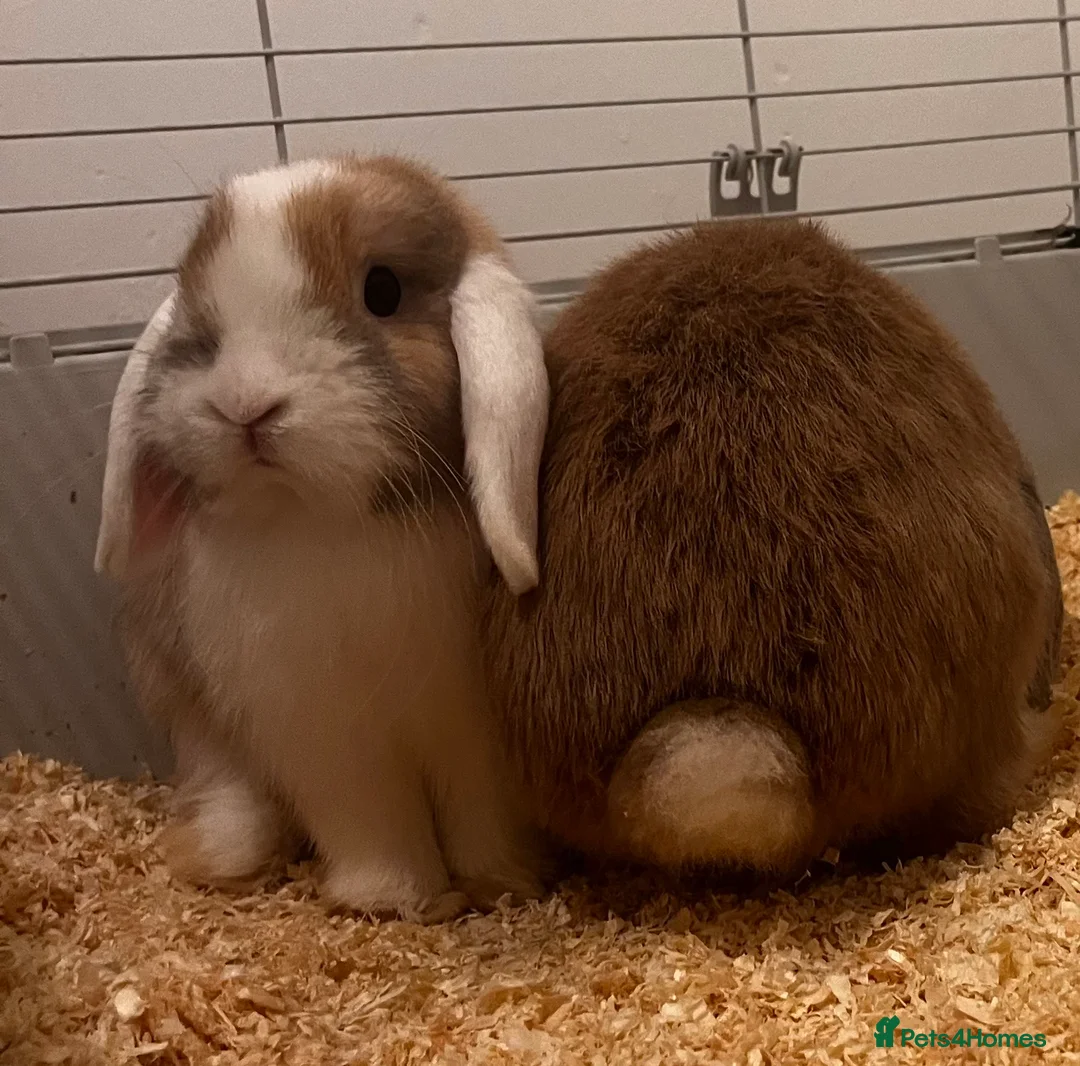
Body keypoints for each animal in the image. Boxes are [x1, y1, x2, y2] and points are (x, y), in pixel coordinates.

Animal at [95, 155, 550, 919]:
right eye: (199, 308)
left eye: (383, 290)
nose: (245, 404)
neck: (329, 521)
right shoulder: (320, 734)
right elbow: (370, 819)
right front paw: (387, 899)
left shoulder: (476, 737)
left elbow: (481, 816)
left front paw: (500, 885)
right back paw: (217, 857)